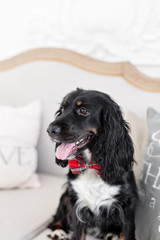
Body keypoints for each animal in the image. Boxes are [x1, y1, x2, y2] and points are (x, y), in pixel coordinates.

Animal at [46, 89, 138, 240]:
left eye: (83, 110)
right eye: (62, 109)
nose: (49, 130)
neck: (92, 165)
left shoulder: (127, 206)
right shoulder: (77, 203)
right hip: (65, 196)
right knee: (56, 218)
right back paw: (58, 231)